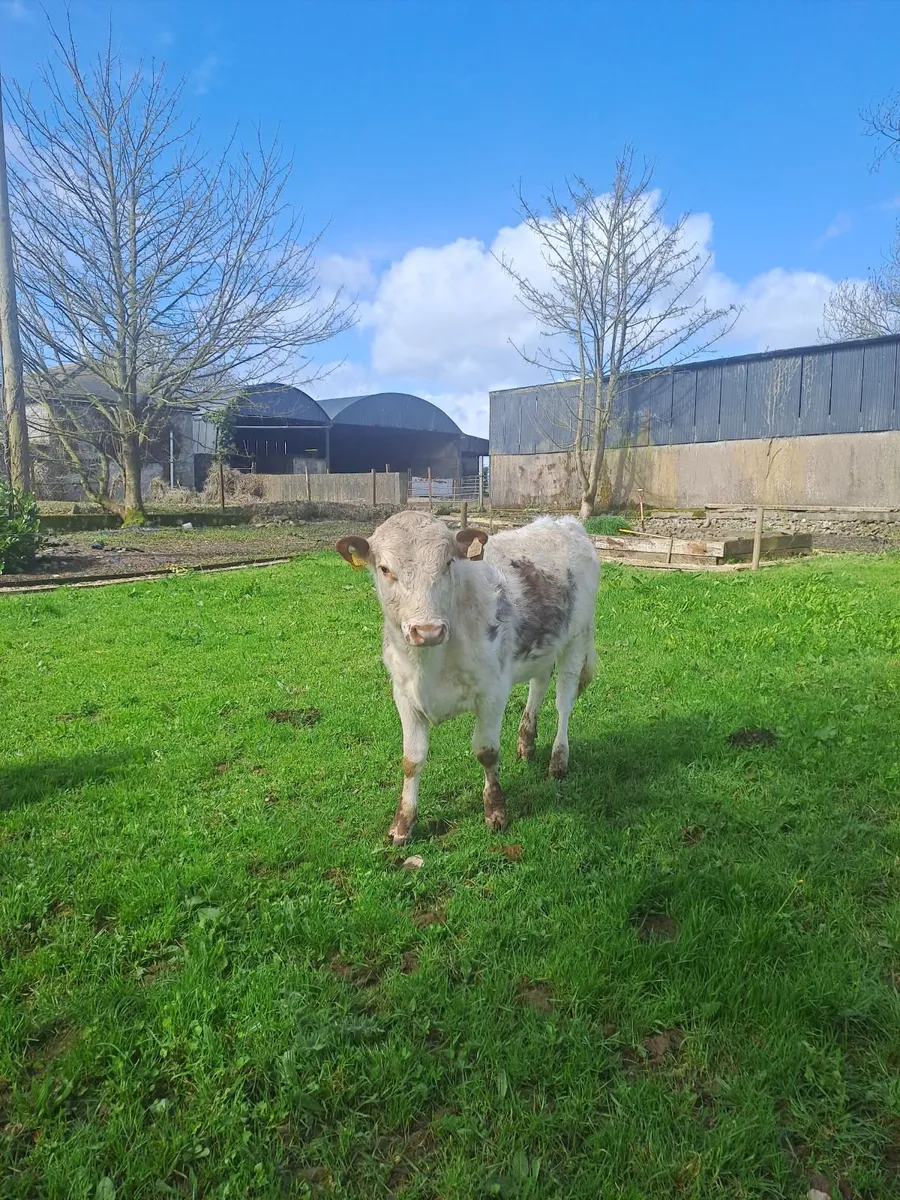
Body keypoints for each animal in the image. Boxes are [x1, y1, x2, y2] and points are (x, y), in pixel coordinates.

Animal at [336, 510, 600, 845]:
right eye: (385, 569)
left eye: (449, 563)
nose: (427, 631)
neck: (430, 665)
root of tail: (563, 523)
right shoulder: (404, 694)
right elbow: (411, 760)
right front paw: (402, 824)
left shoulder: (493, 692)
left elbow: (486, 752)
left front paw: (496, 811)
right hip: (542, 646)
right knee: (539, 684)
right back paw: (526, 742)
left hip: (577, 639)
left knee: (564, 702)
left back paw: (558, 761)